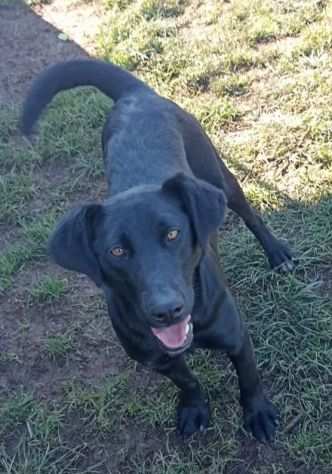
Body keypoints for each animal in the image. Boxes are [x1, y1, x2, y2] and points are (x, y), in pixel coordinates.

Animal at [20, 59, 292, 440]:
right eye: (117, 252)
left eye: (173, 234)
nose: (166, 311)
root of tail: (136, 93)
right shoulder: (156, 359)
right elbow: (187, 381)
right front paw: (194, 408)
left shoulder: (236, 336)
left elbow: (249, 379)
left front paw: (258, 414)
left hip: (219, 177)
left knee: (250, 214)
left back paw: (277, 253)